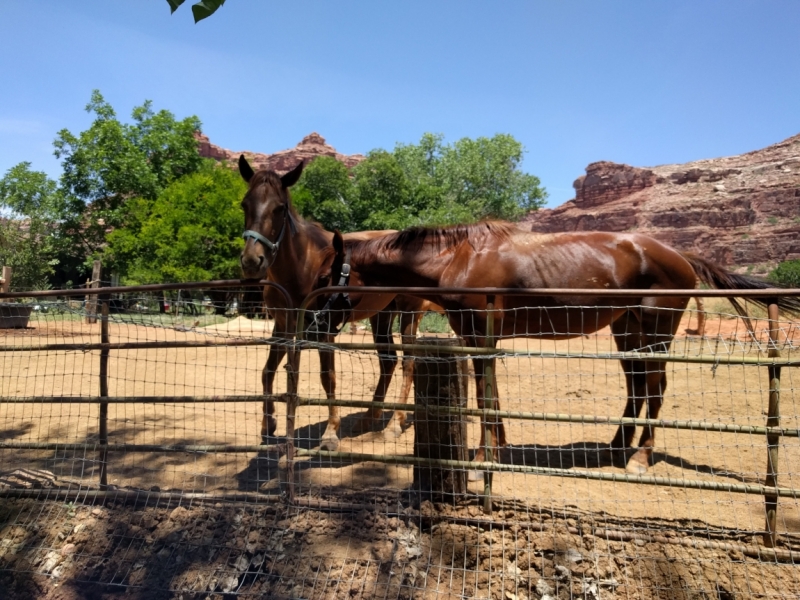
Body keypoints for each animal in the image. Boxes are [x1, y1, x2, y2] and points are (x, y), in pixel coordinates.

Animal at [238, 157, 438, 448]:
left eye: (280, 208)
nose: (253, 261)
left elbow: (328, 377)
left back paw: (395, 423)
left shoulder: (326, 328)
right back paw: (369, 418)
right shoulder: (283, 325)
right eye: (244, 204)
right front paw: (268, 424)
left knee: (408, 363)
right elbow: (269, 371)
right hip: (381, 315)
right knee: (388, 361)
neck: (302, 264)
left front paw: (331, 433)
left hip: (409, 314)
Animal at [332, 224, 800, 474]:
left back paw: (640, 456)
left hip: (656, 331)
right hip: (627, 329)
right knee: (636, 386)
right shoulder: (476, 338)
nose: (322, 314)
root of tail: (678, 254)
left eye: (334, 272)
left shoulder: (483, 337)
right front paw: (498, 448)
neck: (459, 258)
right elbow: (491, 395)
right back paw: (615, 448)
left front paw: (484, 456)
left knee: (654, 387)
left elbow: (484, 394)